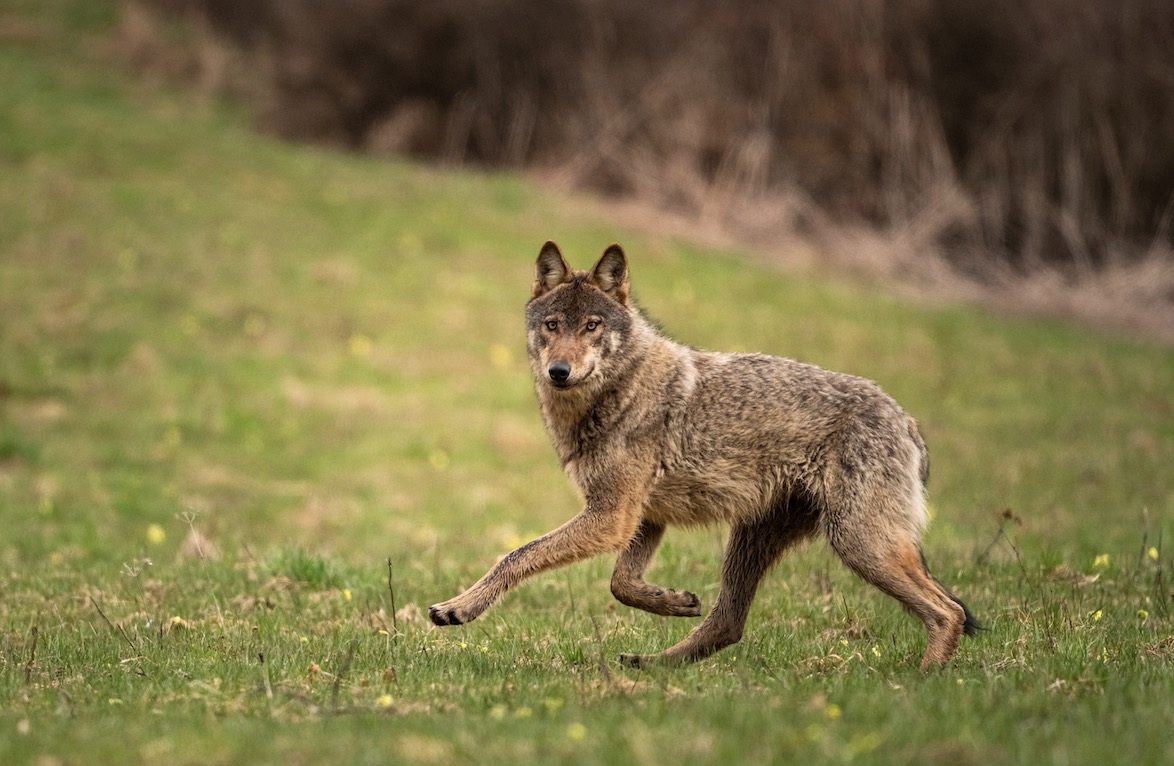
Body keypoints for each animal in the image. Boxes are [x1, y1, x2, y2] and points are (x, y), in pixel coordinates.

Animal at [427, 240, 976, 672]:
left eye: (592, 327)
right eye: (553, 324)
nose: (559, 371)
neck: (618, 394)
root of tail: (908, 422)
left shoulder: (612, 517)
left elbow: (517, 555)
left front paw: (459, 608)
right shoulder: (641, 518)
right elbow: (620, 584)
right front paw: (672, 601)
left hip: (858, 545)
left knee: (948, 611)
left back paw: (925, 683)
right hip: (757, 541)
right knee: (728, 623)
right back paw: (650, 664)